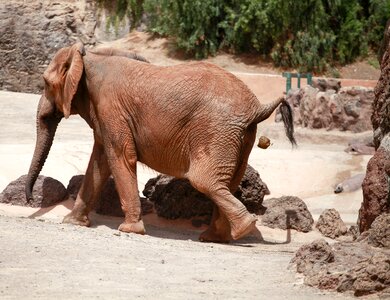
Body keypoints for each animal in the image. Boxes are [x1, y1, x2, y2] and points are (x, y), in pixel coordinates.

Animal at [25, 42, 296, 243]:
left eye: (46, 83)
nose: (29, 200)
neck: (89, 57)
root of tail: (258, 107)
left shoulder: (111, 108)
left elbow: (119, 157)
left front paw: (128, 230)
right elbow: (100, 162)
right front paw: (72, 223)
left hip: (216, 131)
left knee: (204, 180)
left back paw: (242, 229)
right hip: (239, 136)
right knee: (228, 182)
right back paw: (215, 238)